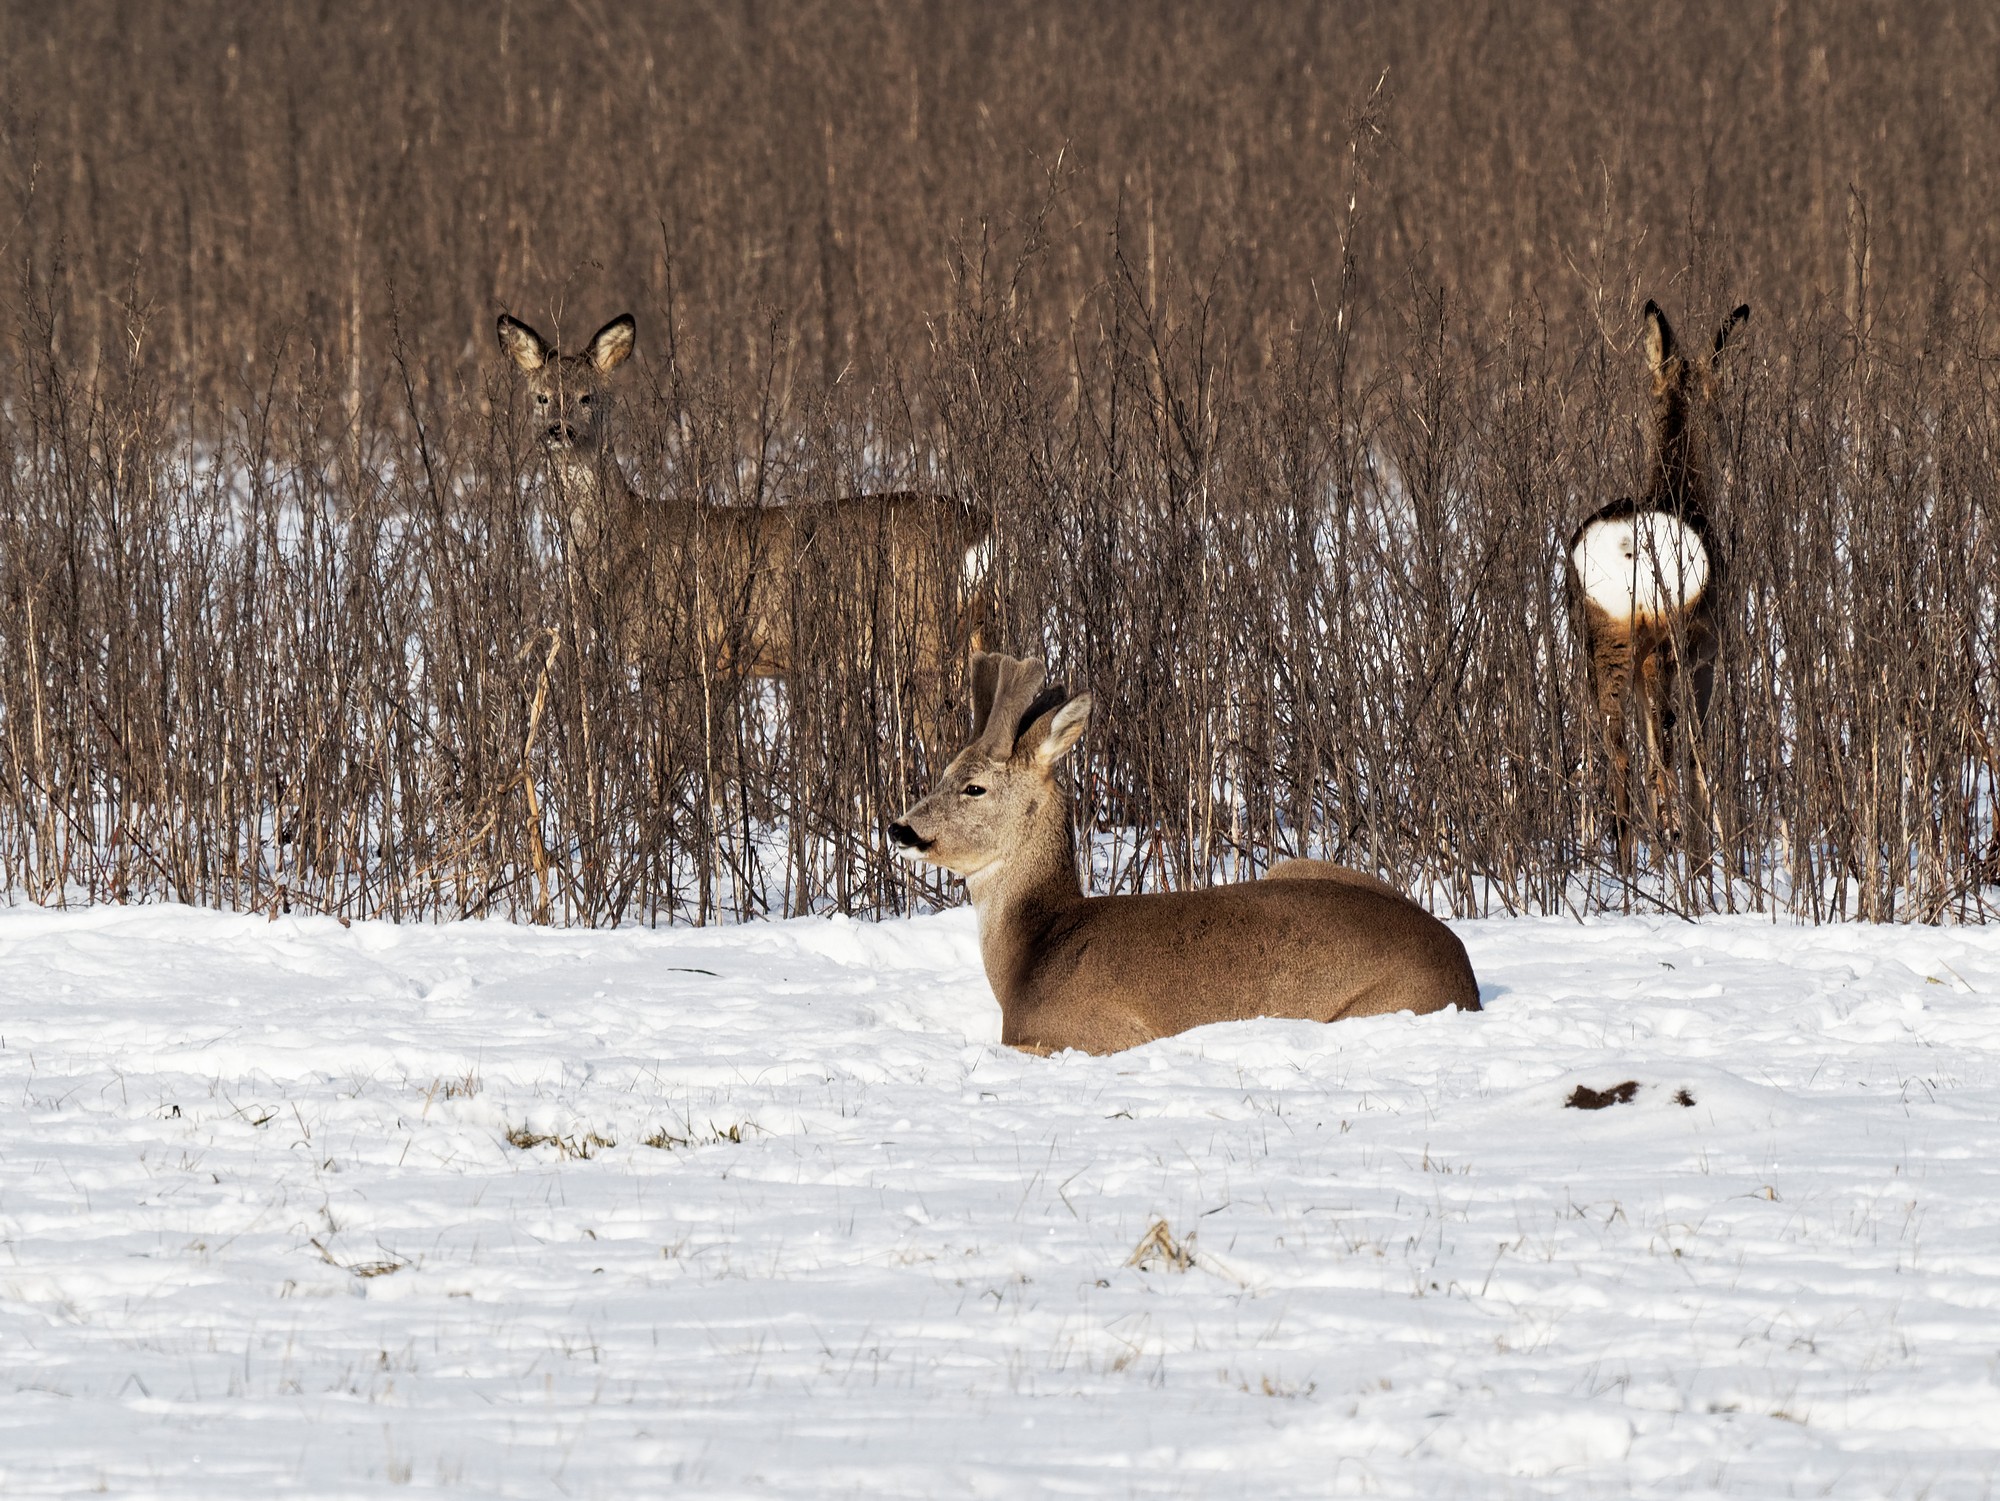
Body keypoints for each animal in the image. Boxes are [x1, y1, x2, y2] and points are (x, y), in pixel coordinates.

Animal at [496, 314, 988, 684]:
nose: (559, 430)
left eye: (587, 397)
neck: (624, 540)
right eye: (541, 397)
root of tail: (977, 528)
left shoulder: (681, 650)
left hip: (923, 639)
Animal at [884, 656, 1480, 1056]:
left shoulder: (1095, 1032)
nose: (899, 829)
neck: (1032, 951)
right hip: (1296, 867)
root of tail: (1466, 978)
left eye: (975, 788)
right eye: (942, 773)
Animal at [1560, 300, 1752, 864]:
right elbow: (1698, 751)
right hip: (1666, 637)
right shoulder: (1707, 647)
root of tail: (1629, 545)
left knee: (1618, 747)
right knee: (1664, 746)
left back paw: (1626, 857)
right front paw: (1708, 857)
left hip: (1602, 636)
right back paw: (1674, 844)